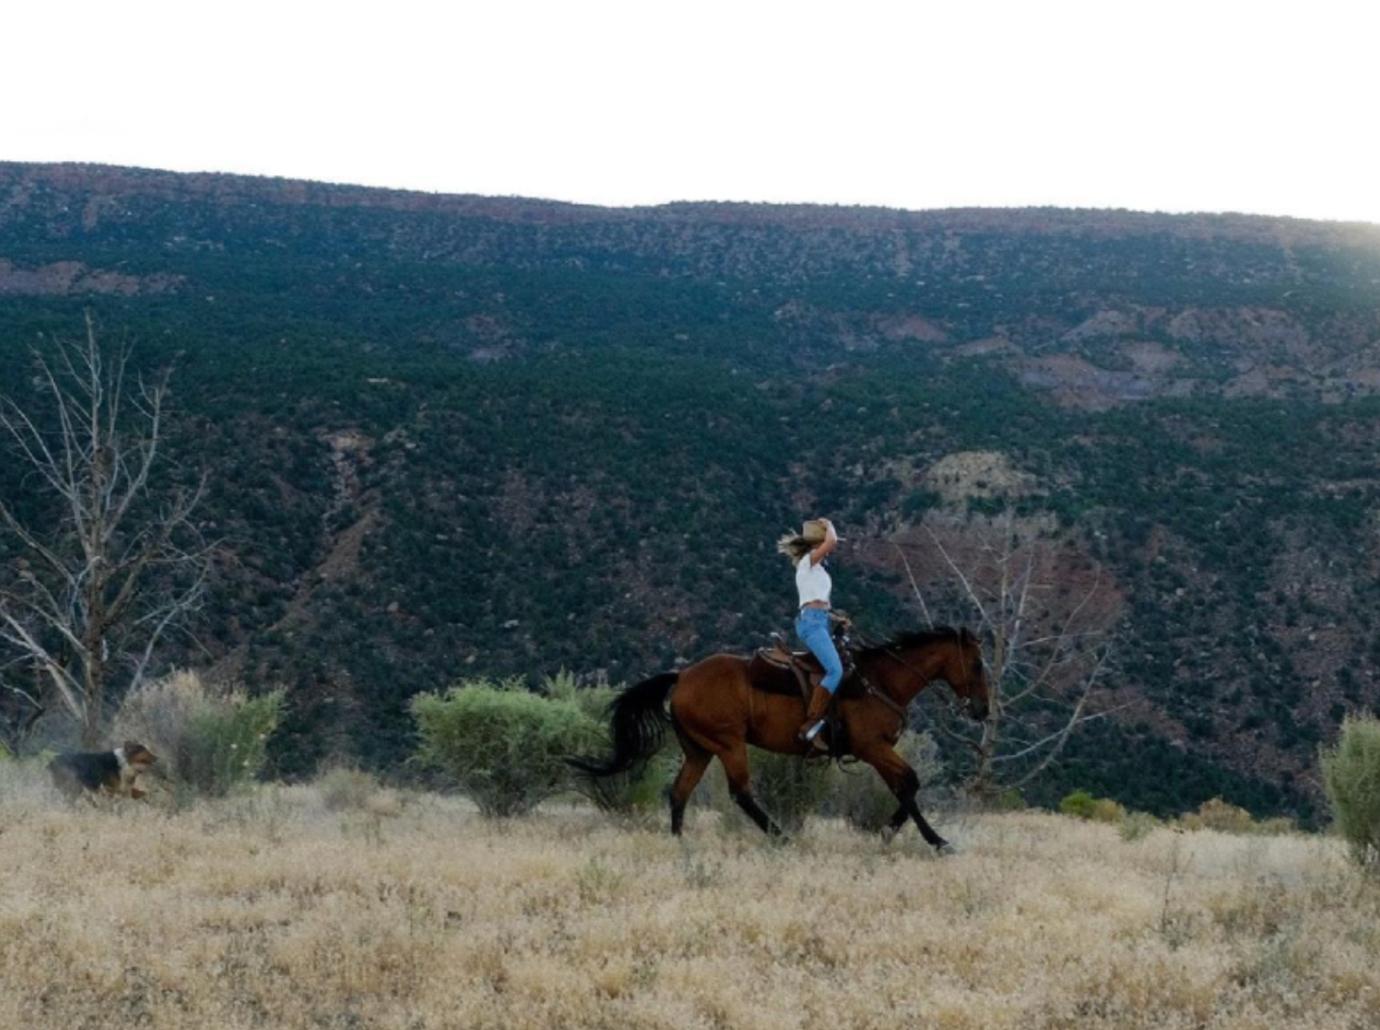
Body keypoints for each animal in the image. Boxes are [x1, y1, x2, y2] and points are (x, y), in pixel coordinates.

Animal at [571, 626, 993, 850]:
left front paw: (898, 833)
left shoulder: (881, 750)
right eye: (976, 664)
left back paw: (680, 841)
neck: (880, 681)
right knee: (741, 792)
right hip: (729, 744)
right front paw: (930, 839)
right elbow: (910, 783)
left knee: (679, 792)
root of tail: (683, 676)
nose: (982, 709)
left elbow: (904, 787)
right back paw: (781, 836)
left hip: (699, 750)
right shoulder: (873, 748)